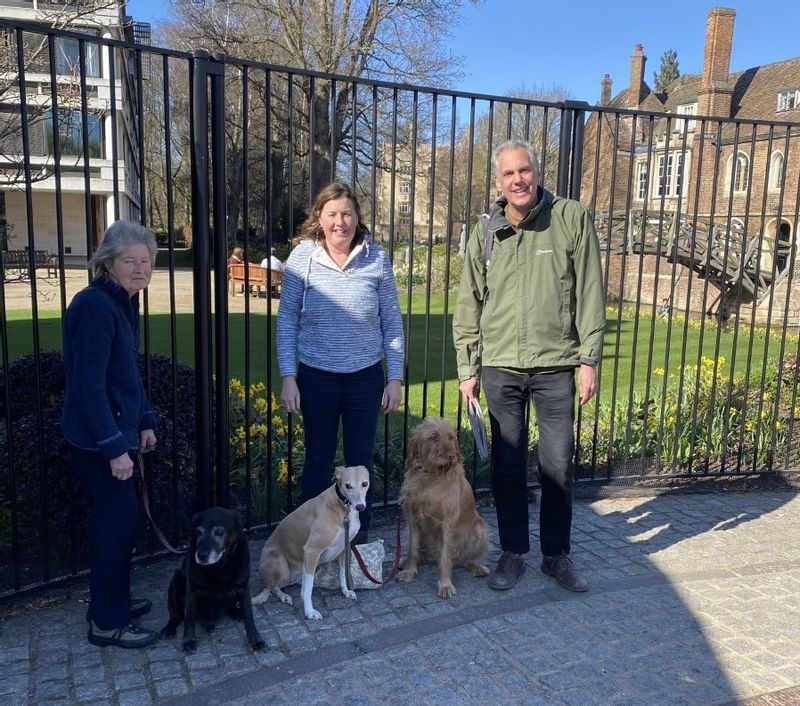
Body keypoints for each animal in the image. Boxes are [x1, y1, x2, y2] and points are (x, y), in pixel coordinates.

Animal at [162, 506, 266, 648]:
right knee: (176, 615)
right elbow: (189, 619)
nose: (201, 556)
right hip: (176, 581)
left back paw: (235, 612)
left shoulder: (243, 588)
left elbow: (249, 617)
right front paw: (188, 640)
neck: (219, 566)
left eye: (219, 532)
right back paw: (171, 628)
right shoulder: (192, 591)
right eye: (198, 532)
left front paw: (256, 640)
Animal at [398, 416, 490, 596]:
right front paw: (409, 571)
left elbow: (446, 556)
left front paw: (445, 584)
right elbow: (413, 548)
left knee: (462, 559)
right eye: (433, 437)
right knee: (421, 554)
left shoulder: (448, 523)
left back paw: (477, 567)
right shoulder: (412, 519)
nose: (452, 456)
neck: (432, 477)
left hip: (480, 530)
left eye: (451, 437)